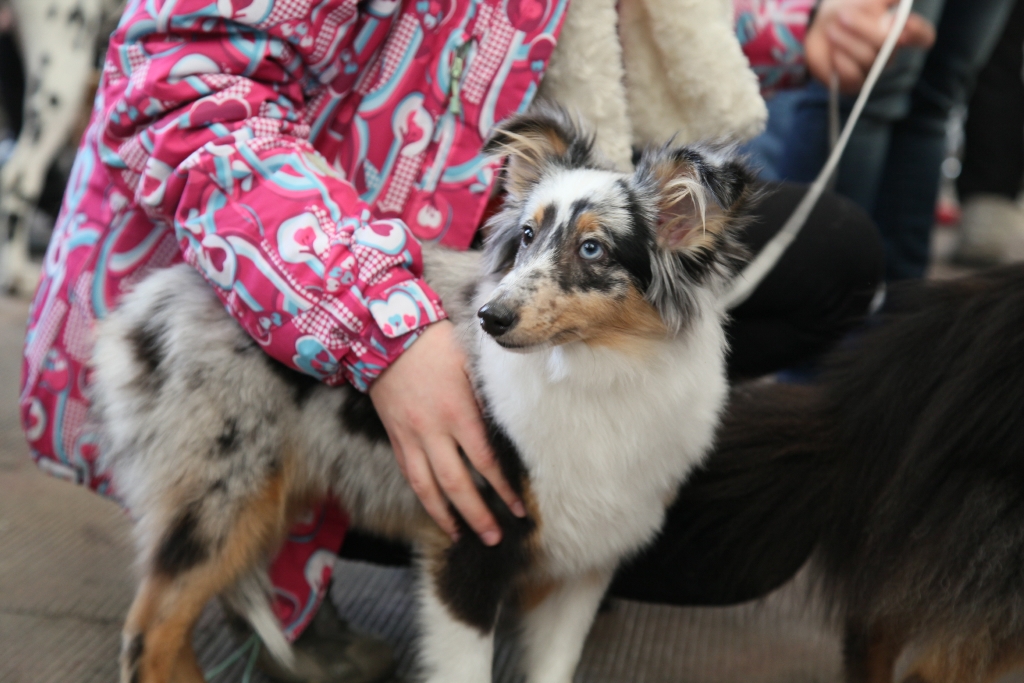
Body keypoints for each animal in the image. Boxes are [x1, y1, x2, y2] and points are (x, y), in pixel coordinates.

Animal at [90, 109, 753, 683]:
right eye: (528, 235)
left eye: (593, 248)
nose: (491, 317)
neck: (594, 372)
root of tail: (149, 304)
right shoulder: (471, 543)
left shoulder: (584, 566)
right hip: (218, 496)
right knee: (148, 634)